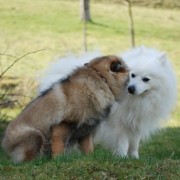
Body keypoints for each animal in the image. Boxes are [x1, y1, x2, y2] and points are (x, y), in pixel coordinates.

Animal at [38, 47, 176, 158]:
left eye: (146, 79)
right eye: (132, 75)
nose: (130, 88)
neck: (138, 99)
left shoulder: (136, 122)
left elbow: (134, 144)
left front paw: (135, 158)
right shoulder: (120, 123)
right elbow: (123, 143)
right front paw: (122, 157)